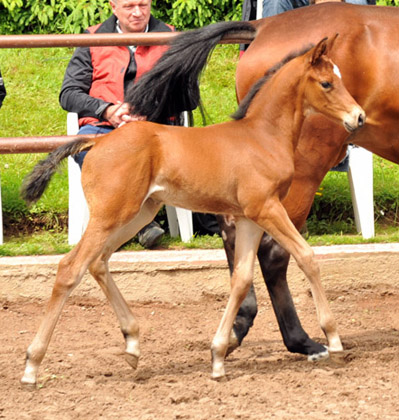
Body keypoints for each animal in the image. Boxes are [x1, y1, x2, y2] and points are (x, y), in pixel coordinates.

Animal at [20, 36, 366, 384]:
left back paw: (132, 343)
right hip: (110, 214)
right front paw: (334, 341)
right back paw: (32, 365)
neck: (263, 136)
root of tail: (97, 143)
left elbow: (241, 278)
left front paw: (218, 356)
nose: (359, 117)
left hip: (138, 213)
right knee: (70, 268)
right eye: (326, 83)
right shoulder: (267, 208)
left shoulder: (249, 217)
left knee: (98, 262)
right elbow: (307, 257)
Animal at [126, 0, 399, 360]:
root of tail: (263, 27)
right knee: (276, 252)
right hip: (300, 175)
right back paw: (301, 338)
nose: (359, 116)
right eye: (327, 83)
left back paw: (240, 326)